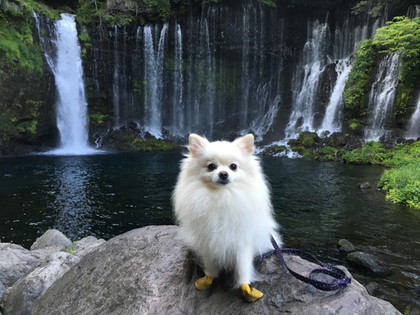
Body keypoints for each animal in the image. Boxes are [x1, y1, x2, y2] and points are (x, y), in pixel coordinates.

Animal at [172, 134, 280, 304]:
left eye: (233, 166)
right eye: (211, 166)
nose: (223, 173)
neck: (222, 197)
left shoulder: (242, 242)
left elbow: (243, 267)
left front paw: (246, 287)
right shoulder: (208, 241)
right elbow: (210, 265)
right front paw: (207, 280)